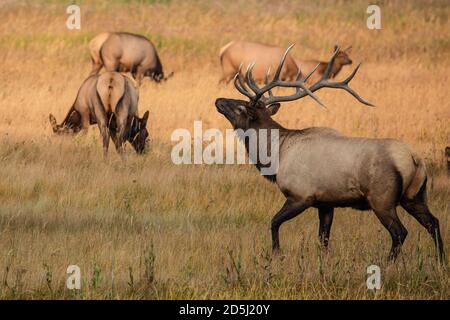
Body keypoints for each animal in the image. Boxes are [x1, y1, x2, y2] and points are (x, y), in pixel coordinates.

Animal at [215, 45, 446, 264]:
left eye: (241, 107)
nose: (218, 100)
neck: (276, 154)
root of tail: (415, 159)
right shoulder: (326, 203)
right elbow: (323, 238)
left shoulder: (301, 195)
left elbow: (274, 222)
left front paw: (276, 255)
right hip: (415, 195)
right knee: (433, 222)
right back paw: (441, 261)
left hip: (382, 198)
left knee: (400, 232)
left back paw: (389, 262)